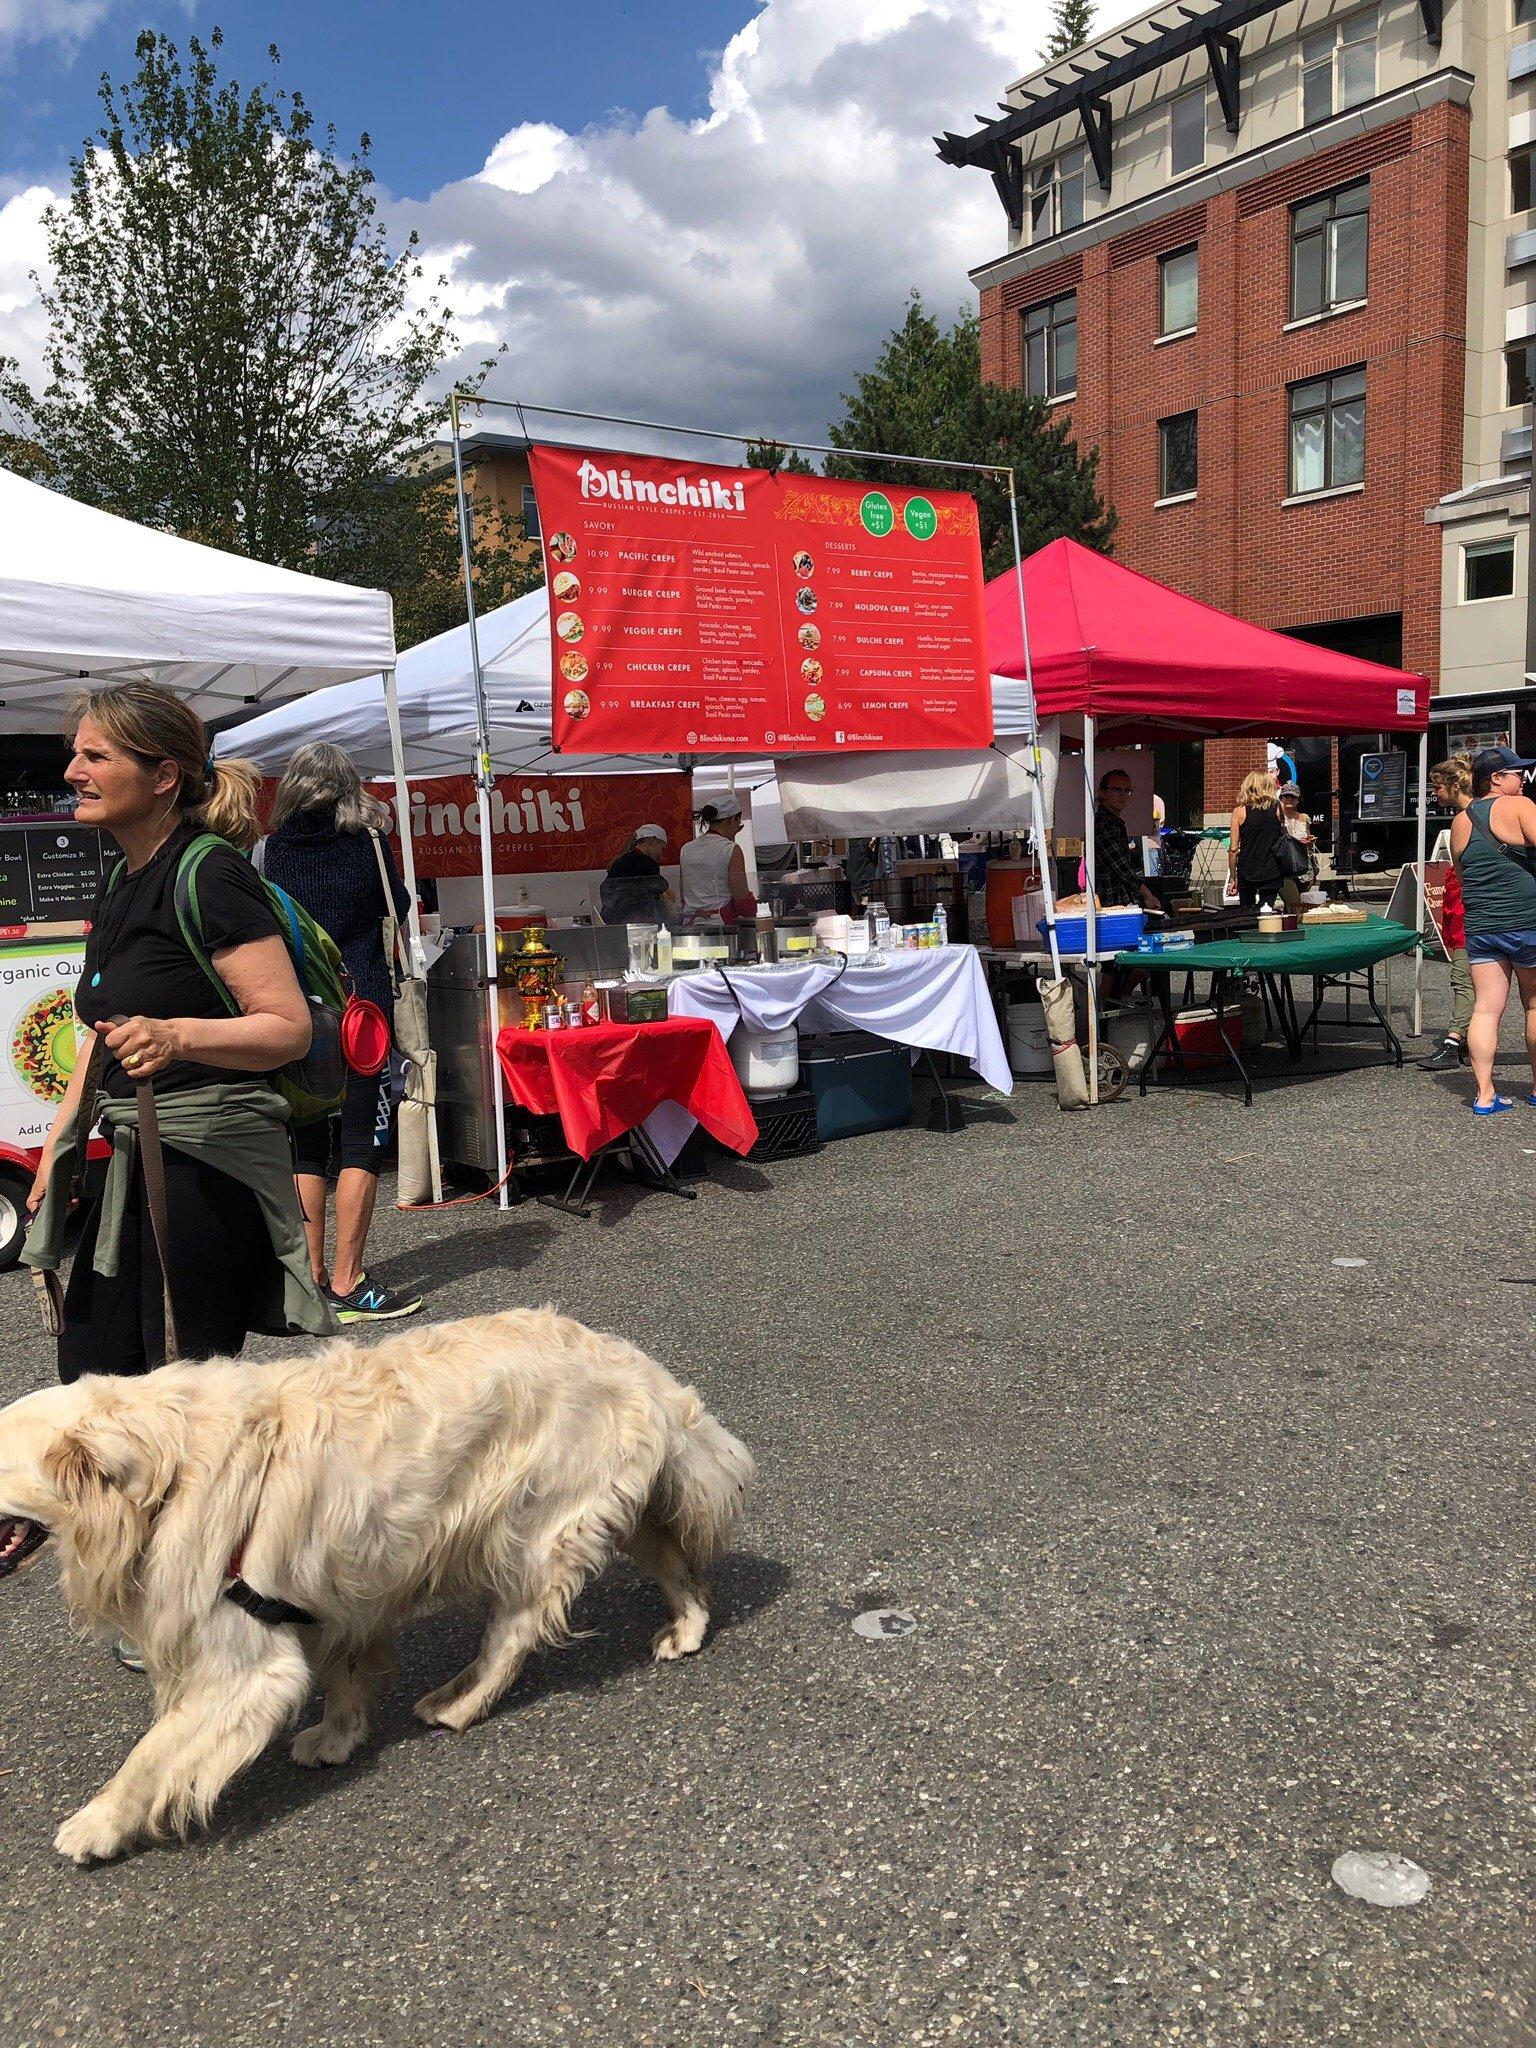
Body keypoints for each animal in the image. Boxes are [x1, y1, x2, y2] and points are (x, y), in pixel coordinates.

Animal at [0, 1318, 757, 1867]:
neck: (163, 1476)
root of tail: (640, 1370)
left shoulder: (242, 1663)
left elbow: (150, 1754)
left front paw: (96, 1825)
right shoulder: (335, 1596)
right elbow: (345, 1672)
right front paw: (339, 1735)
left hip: (530, 1529)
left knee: (514, 1631)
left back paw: (460, 1700)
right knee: (673, 1561)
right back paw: (687, 1626)